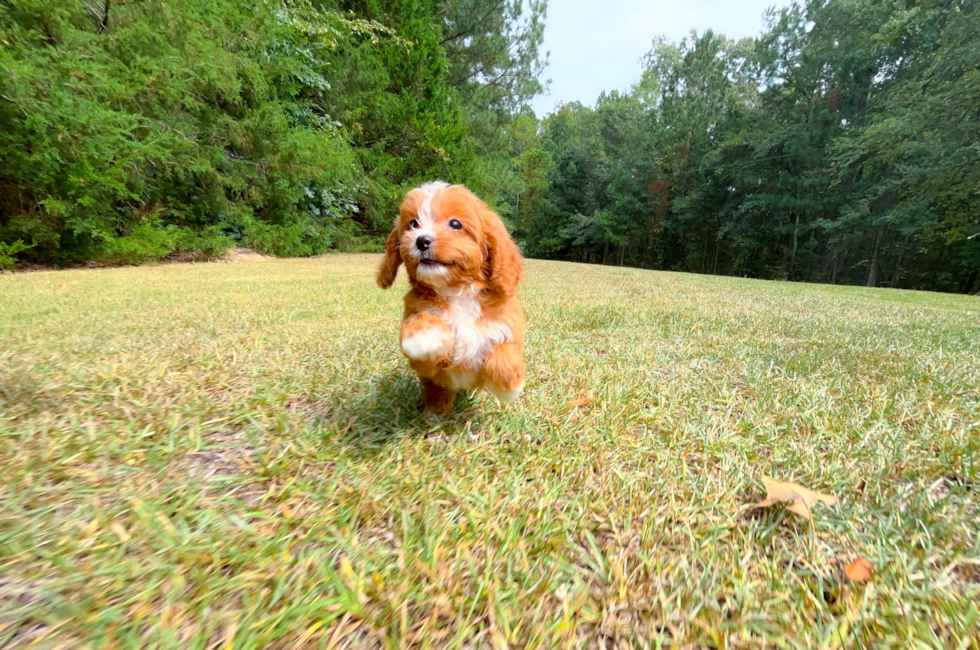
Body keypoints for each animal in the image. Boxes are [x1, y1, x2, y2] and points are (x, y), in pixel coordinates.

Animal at [378, 182, 528, 416]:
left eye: (455, 224)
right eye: (413, 224)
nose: (422, 240)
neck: (458, 294)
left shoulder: (507, 327)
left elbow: (504, 354)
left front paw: (509, 388)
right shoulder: (426, 362)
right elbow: (420, 325)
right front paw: (425, 337)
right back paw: (436, 412)